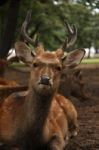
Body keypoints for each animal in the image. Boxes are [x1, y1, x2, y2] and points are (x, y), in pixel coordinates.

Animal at [0, 11, 85, 149]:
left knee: (76, 127)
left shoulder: (57, 132)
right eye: (35, 64)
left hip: (71, 110)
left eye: (59, 67)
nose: (45, 79)